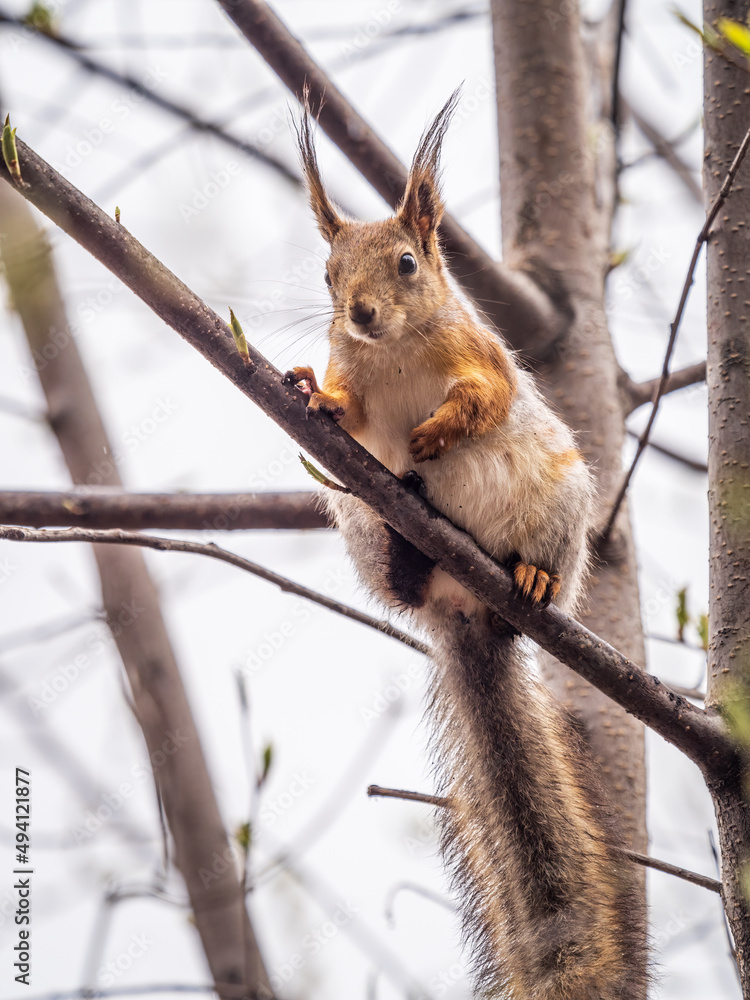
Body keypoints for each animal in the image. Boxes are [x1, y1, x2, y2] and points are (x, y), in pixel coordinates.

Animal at [283, 93, 647, 999]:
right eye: (329, 277)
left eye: (409, 263)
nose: (360, 315)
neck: (395, 352)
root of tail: (464, 607)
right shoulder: (361, 387)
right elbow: (352, 411)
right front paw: (315, 393)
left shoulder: (482, 358)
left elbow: (485, 399)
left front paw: (438, 431)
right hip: (362, 532)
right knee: (401, 574)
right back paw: (411, 556)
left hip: (561, 512)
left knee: (535, 571)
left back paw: (531, 580)